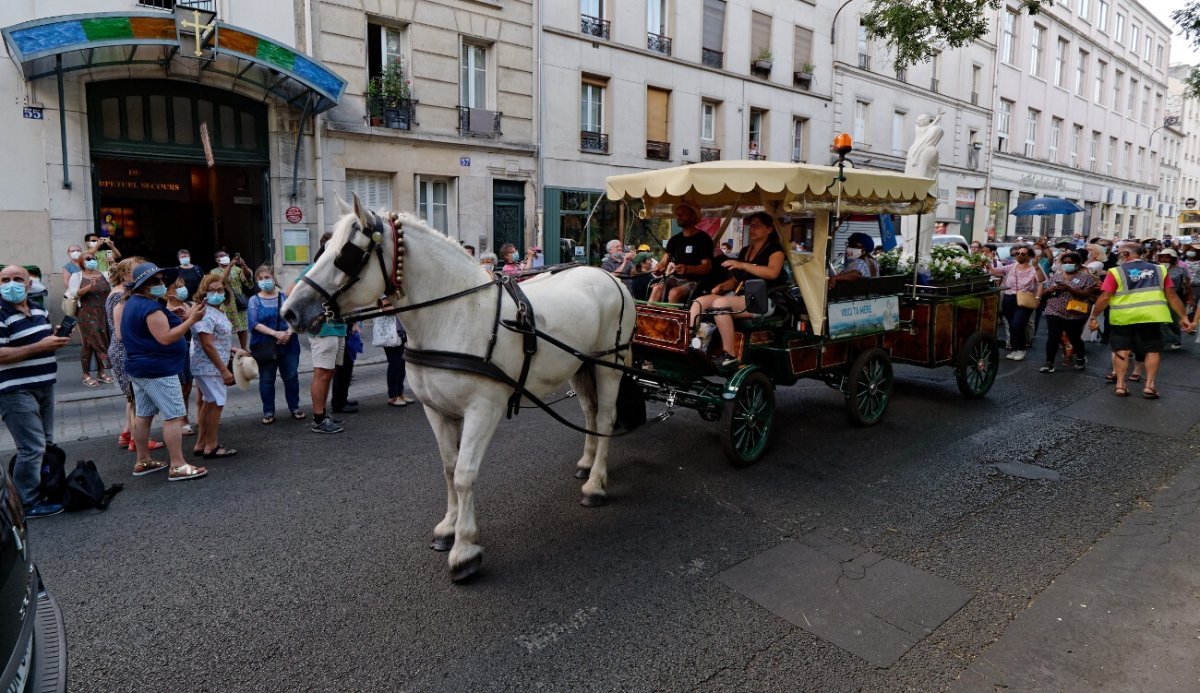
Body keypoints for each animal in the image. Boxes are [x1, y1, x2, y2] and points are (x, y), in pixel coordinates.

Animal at [282, 193, 638, 577]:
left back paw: (595, 484)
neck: (455, 314)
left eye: (346, 254)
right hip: (580, 363)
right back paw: (587, 462)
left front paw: (465, 549)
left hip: (609, 365)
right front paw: (448, 528)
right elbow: (449, 469)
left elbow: (465, 474)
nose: (289, 311)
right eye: (324, 248)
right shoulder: (437, 410)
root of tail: (607, 274)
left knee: (604, 419)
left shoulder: (484, 408)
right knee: (589, 413)